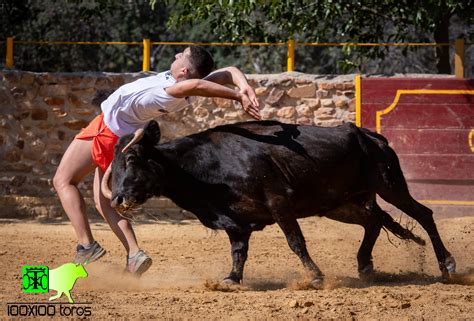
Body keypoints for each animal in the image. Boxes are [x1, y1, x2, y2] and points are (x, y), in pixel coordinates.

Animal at [103, 120, 456, 284]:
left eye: (131, 159)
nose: (118, 198)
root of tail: (371, 136)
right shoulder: (235, 222)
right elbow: (238, 251)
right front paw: (232, 279)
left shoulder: (278, 202)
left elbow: (295, 241)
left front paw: (315, 276)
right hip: (341, 204)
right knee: (373, 222)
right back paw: (365, 265)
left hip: (389, 184)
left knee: (423, 214)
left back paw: (447, 265)